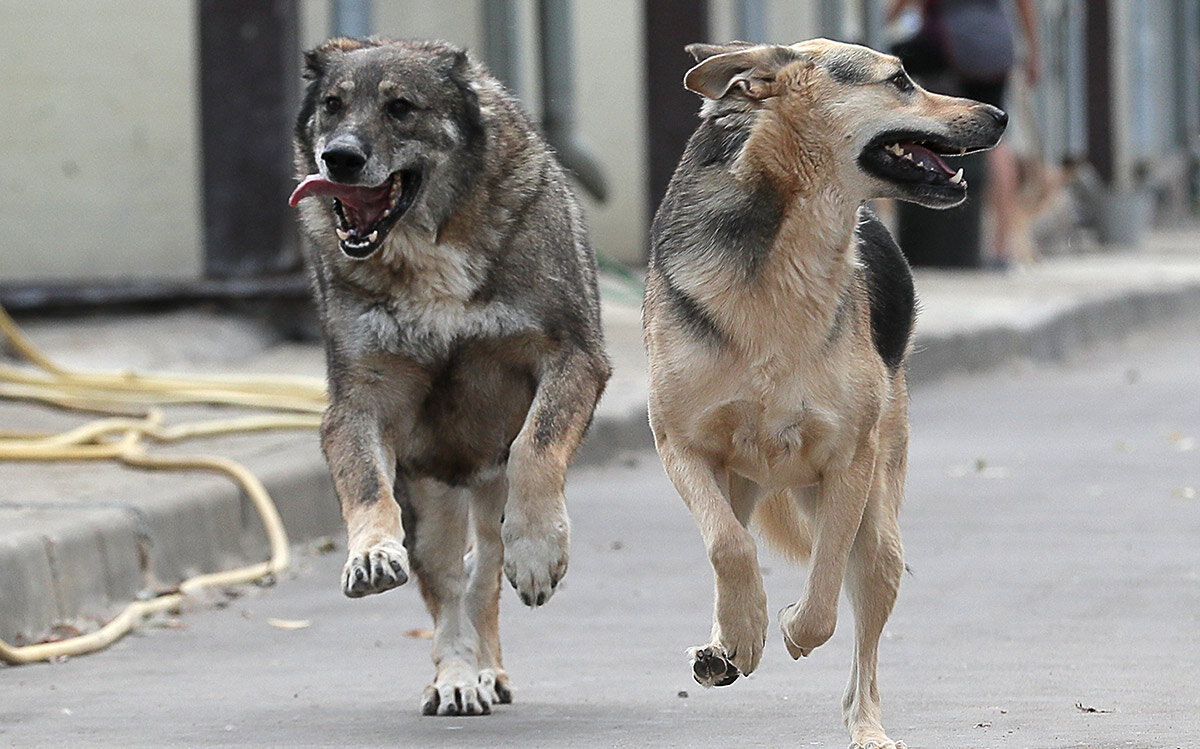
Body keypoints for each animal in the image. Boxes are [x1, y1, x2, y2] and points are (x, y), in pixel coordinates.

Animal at [289, 38, 609, 715]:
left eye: (401, 107)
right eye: (332, 105)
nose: (339, 158)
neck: (426, 250)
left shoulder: (573, 358)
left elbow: (536, 445)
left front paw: (540, 548)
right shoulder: (358, 406)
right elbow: (364, 484)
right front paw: (370, 553)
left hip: (489, 498)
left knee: (483, 572)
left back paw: (490, 664)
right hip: (431, 500)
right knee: (448, 585)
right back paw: (459, 677)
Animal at [643, 40, 1008, 749]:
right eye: (901, 80)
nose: (1001, 114)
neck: (789, 254)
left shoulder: (847, 462)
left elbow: (820, 601)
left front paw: (786, 628)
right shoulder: (680, 446)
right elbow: (728, 547)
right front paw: (743, 635)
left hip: (881, 523)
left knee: (861, 623)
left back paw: (866, 726)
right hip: (738, 479)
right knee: (734, 540)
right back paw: (726, 641)